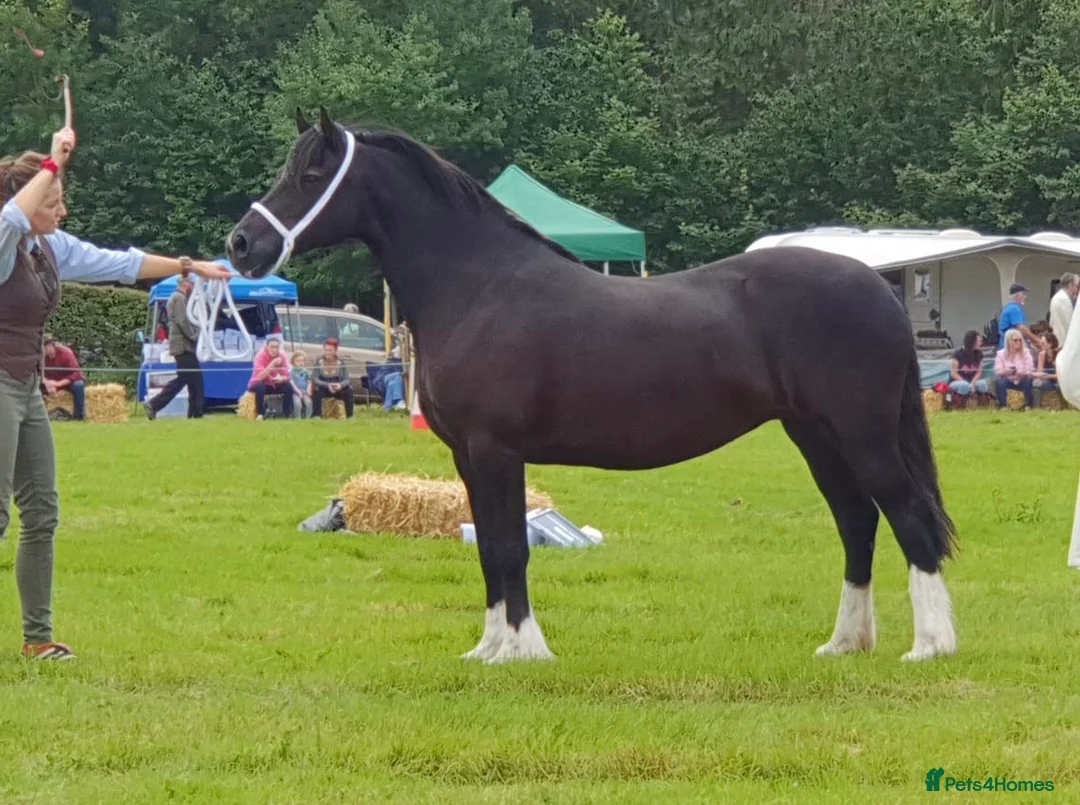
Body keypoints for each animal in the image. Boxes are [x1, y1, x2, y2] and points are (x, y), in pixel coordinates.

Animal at [226, 107, 959, 664]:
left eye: (310, 173)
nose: (240, 245)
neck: (478, 285)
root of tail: (880, 291)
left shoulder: (496, 450)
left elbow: (509, 547)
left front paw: (522, 650)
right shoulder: (468, 457)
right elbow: (488, 550)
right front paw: (487, 648)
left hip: (861, 433)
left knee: (907, 516)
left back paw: (930, 647)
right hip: (815, 434)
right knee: (858, 522)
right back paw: (845, 643)